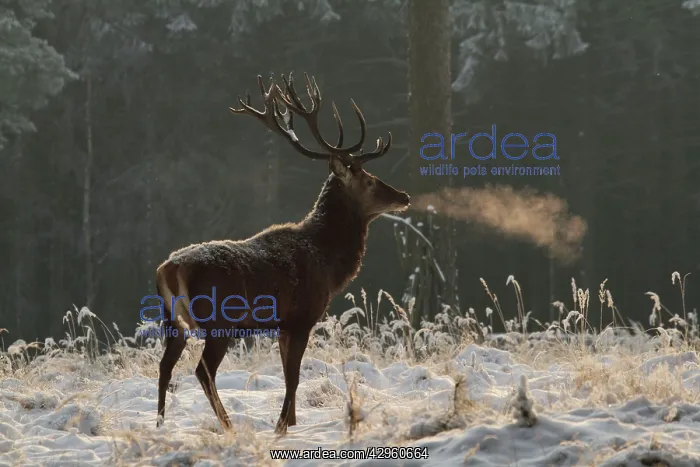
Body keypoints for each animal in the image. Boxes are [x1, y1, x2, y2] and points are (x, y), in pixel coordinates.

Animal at [155, 72, 410, 435]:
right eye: (371, 180)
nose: (404, 196)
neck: (328, 260)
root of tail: (169, 268)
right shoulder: (302, 316)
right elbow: (293, 376)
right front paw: (282, 426)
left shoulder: (282, 324)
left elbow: (290, 373)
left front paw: (290, 421)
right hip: (220, 321)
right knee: (203, 370)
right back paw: (228, 424)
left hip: (172, 320)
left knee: (164, 367)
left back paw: (160, 423)